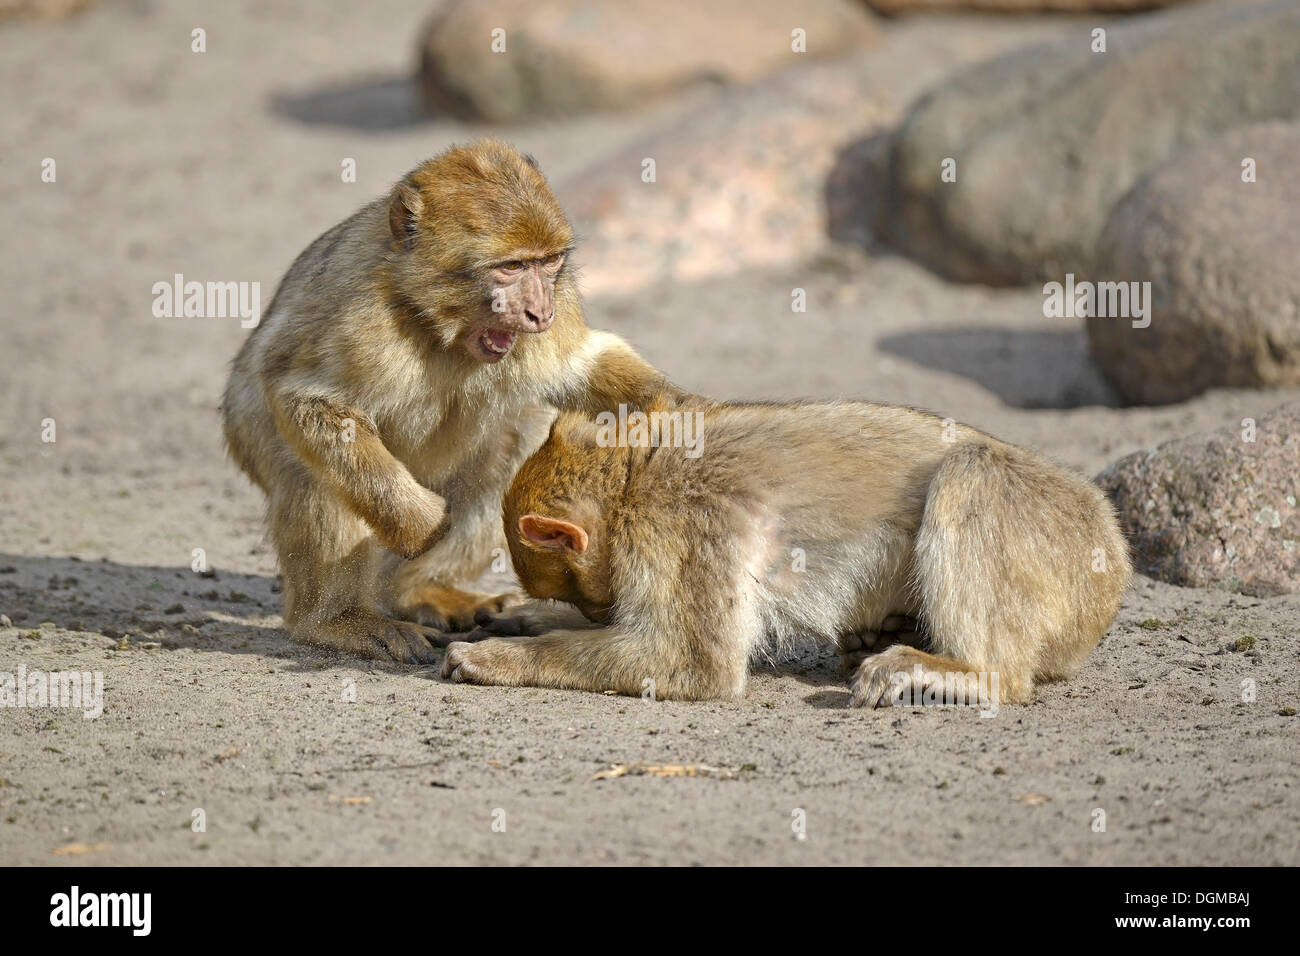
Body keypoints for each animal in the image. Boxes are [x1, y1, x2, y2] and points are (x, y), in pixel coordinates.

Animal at [222, 140, 681, 665]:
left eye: (548, 263)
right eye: (511, 267)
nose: (539, 312)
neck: (436, 323)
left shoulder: (561, 300)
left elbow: (582, 364)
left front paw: (672, 414)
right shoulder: (362, 318)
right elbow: (309, 401)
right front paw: (418, 522)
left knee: (511, 444)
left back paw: (416, 591)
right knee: (312, 473)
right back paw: (337, 621)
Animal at [441, 400, 1133, 707]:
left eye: (577, 591)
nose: (592, 615)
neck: (636, 473)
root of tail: (1117, 556)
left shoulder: (683, 526)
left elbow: (688, 663)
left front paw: (497, 657)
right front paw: (521, 620)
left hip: (1066, 543)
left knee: (973, 472)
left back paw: (964, 670)